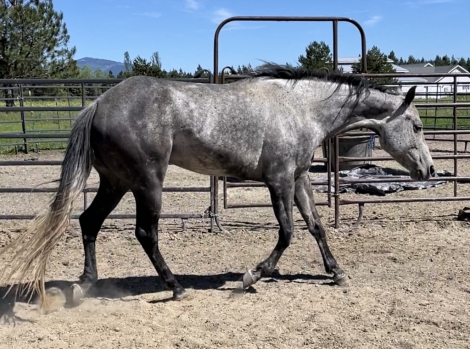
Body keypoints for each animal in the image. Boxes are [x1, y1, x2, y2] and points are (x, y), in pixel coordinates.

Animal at [0, 64, 434, 312]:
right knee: (145, 232)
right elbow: (287, 233)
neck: (299, 108)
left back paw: (85, 285)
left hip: (116, 182)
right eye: (416, 125)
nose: (429, 170)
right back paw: (176, 288)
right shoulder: (278, 181)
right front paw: (252, 276)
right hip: (147, 183)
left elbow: (316, 226)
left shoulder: (298, 179)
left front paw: (337, 273)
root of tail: (99, 104)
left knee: (88, 222)